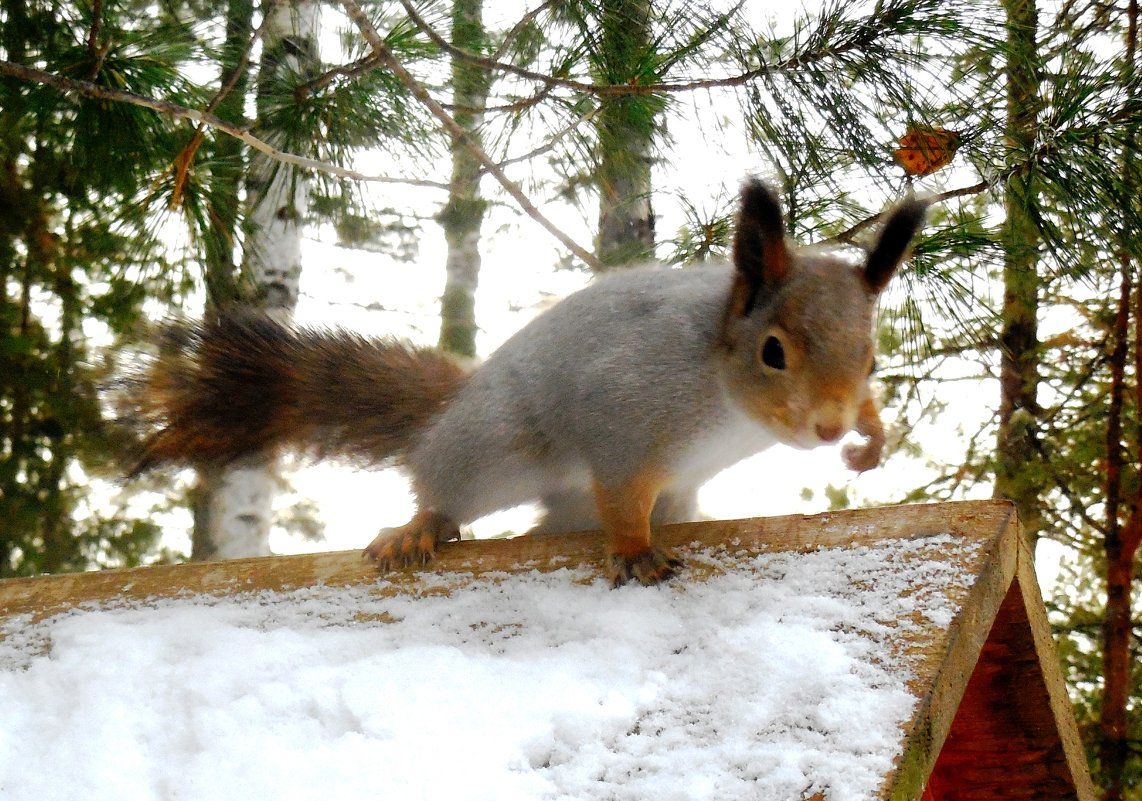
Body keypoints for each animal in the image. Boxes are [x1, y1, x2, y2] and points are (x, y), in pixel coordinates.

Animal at [129, 178, 927, 585]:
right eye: (772, 353)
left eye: (872, 360)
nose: (828, 425)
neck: (726, 400)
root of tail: (452, 405)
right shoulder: (626, 412)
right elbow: (622, 492)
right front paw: (633, 551)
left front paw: (871, 440)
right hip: (490, 449)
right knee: (446, 488)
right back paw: (421, 527)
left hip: (645, 499)